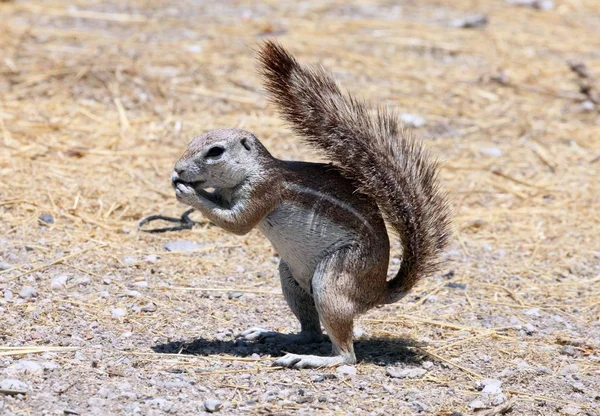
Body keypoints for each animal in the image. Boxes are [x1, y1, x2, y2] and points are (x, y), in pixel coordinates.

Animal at [170, 41, 450, 368]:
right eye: (192, 140)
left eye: (215, 151)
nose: (177, 169)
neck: (252, 171)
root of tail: (376, 292)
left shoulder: (264, 191)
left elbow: (238, 223)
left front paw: (187, 192)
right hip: (290, 279)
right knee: (311, 332)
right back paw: (278, 336)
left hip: (333, 281)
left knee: (347, 356)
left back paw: (311, 359)